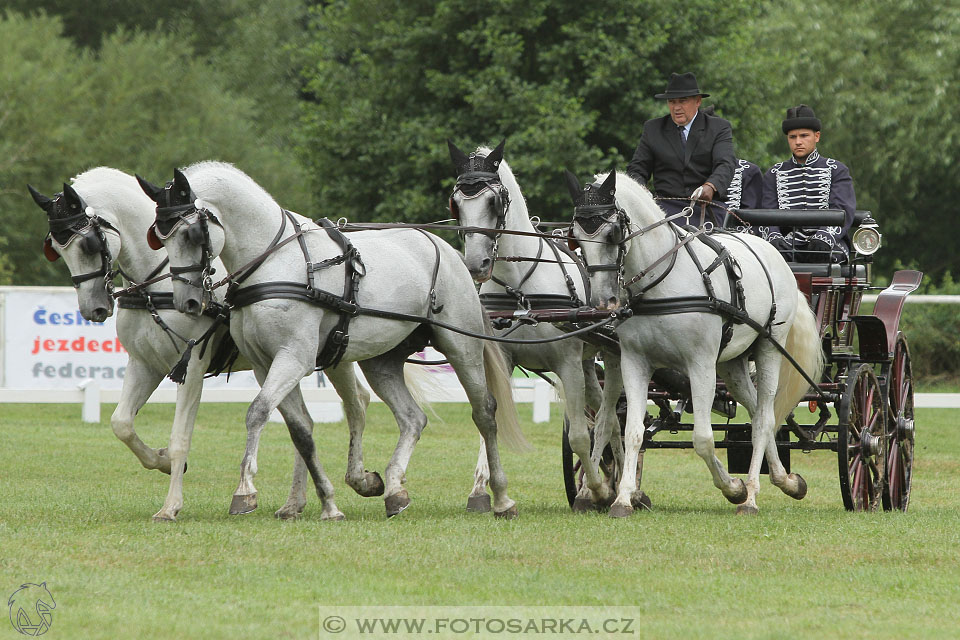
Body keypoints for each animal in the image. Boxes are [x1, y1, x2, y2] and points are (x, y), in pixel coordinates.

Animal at [30, 168, 376, 524]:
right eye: (55, 247)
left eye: (88, 243)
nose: (93, 309)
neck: (157, 286)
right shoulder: (145, 364)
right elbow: (122, 424)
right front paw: (162, 461)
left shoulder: (192, 365)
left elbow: (180, 438)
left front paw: (170, 505)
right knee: (306, 423)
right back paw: (295, 502)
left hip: (331, 356)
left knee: (356, 405)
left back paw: (359, 480)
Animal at [141, 162, 524, 516]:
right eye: (159, 237)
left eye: (192, 234)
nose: (187, 302)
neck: (275, 262)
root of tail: (453, 253)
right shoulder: (267, 365)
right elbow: (299, 430)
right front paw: (327, 501)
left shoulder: (293, 358)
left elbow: (258, 412)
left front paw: (245, 491)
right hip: (381, 361)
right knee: (412, 418)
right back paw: (394, 490)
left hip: (462, 347)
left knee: (484, 412)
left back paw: (500, 496)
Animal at [448, 140, 632, 510]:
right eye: (456, 203)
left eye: (492, 201)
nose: (476, 264)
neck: (521, 286)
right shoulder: (502, 360)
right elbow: (489, 418)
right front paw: (480, 490)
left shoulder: (567, 363)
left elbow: (578, 435)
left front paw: (593, 490)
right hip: (589, 361)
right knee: (603, 413)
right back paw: (613, 475)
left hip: (612, 356)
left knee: (607, 416)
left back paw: (608, 487)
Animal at [564, 170, 824, 516]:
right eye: (576, 239)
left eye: (613, 234)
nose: (602, 303)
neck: (662, 282)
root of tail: (773, 253)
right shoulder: (634, 362)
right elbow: (633, 432)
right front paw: (623, 498)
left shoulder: (700, 365)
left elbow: (702, 438)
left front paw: (734, 488)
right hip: (732, 364)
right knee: (757, 412)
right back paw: (787, 480)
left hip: (769, 347)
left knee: (764, 419)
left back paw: (751, 497)